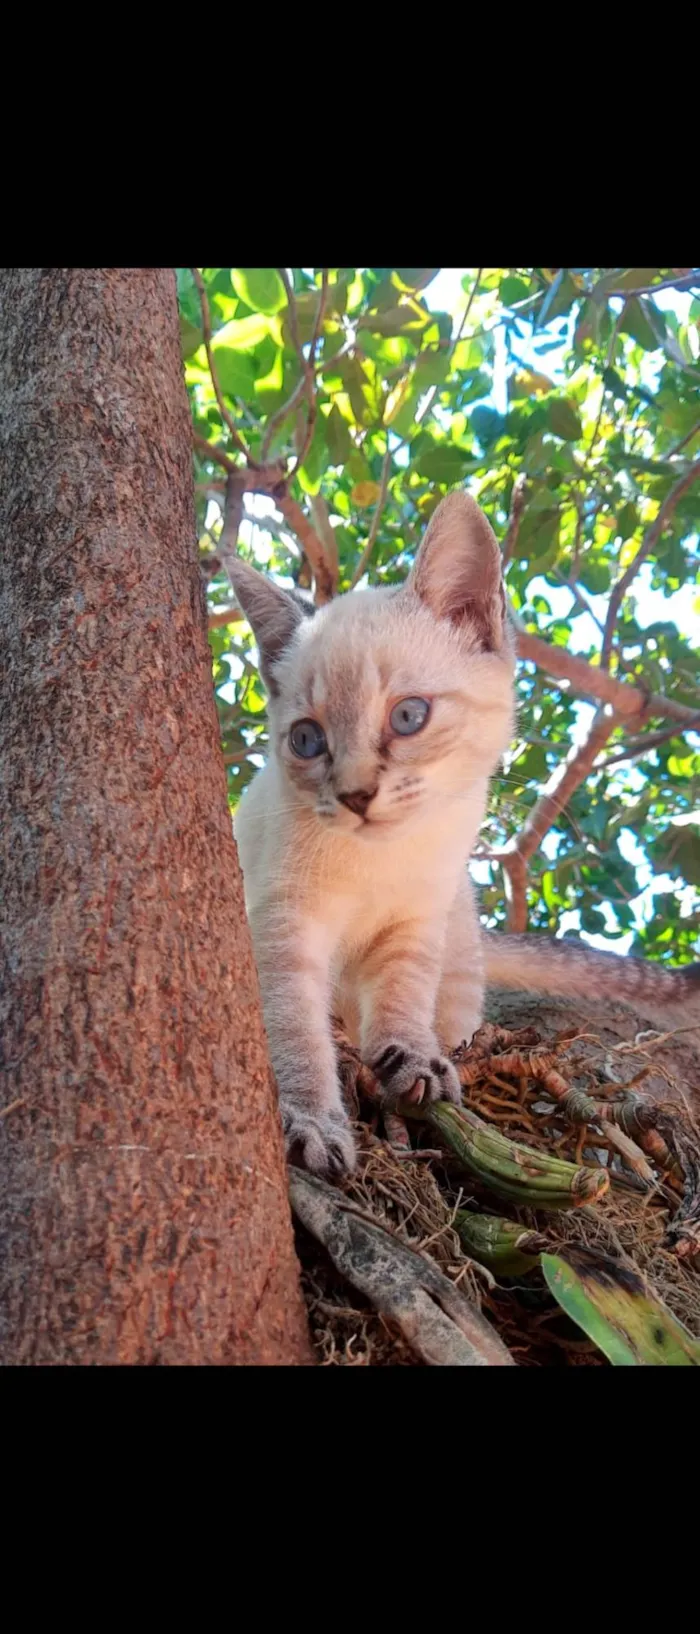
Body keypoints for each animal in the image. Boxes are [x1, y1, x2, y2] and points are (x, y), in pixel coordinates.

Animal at [228, 483, 700, 1176]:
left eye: (408, 716)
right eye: (307, 740)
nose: (356, 796)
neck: (386, 859)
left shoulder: (416, 922)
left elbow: (402, 1000)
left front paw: (409, 1061)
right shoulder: (284, 927)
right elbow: (294, 1032)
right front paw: (313, 1122)